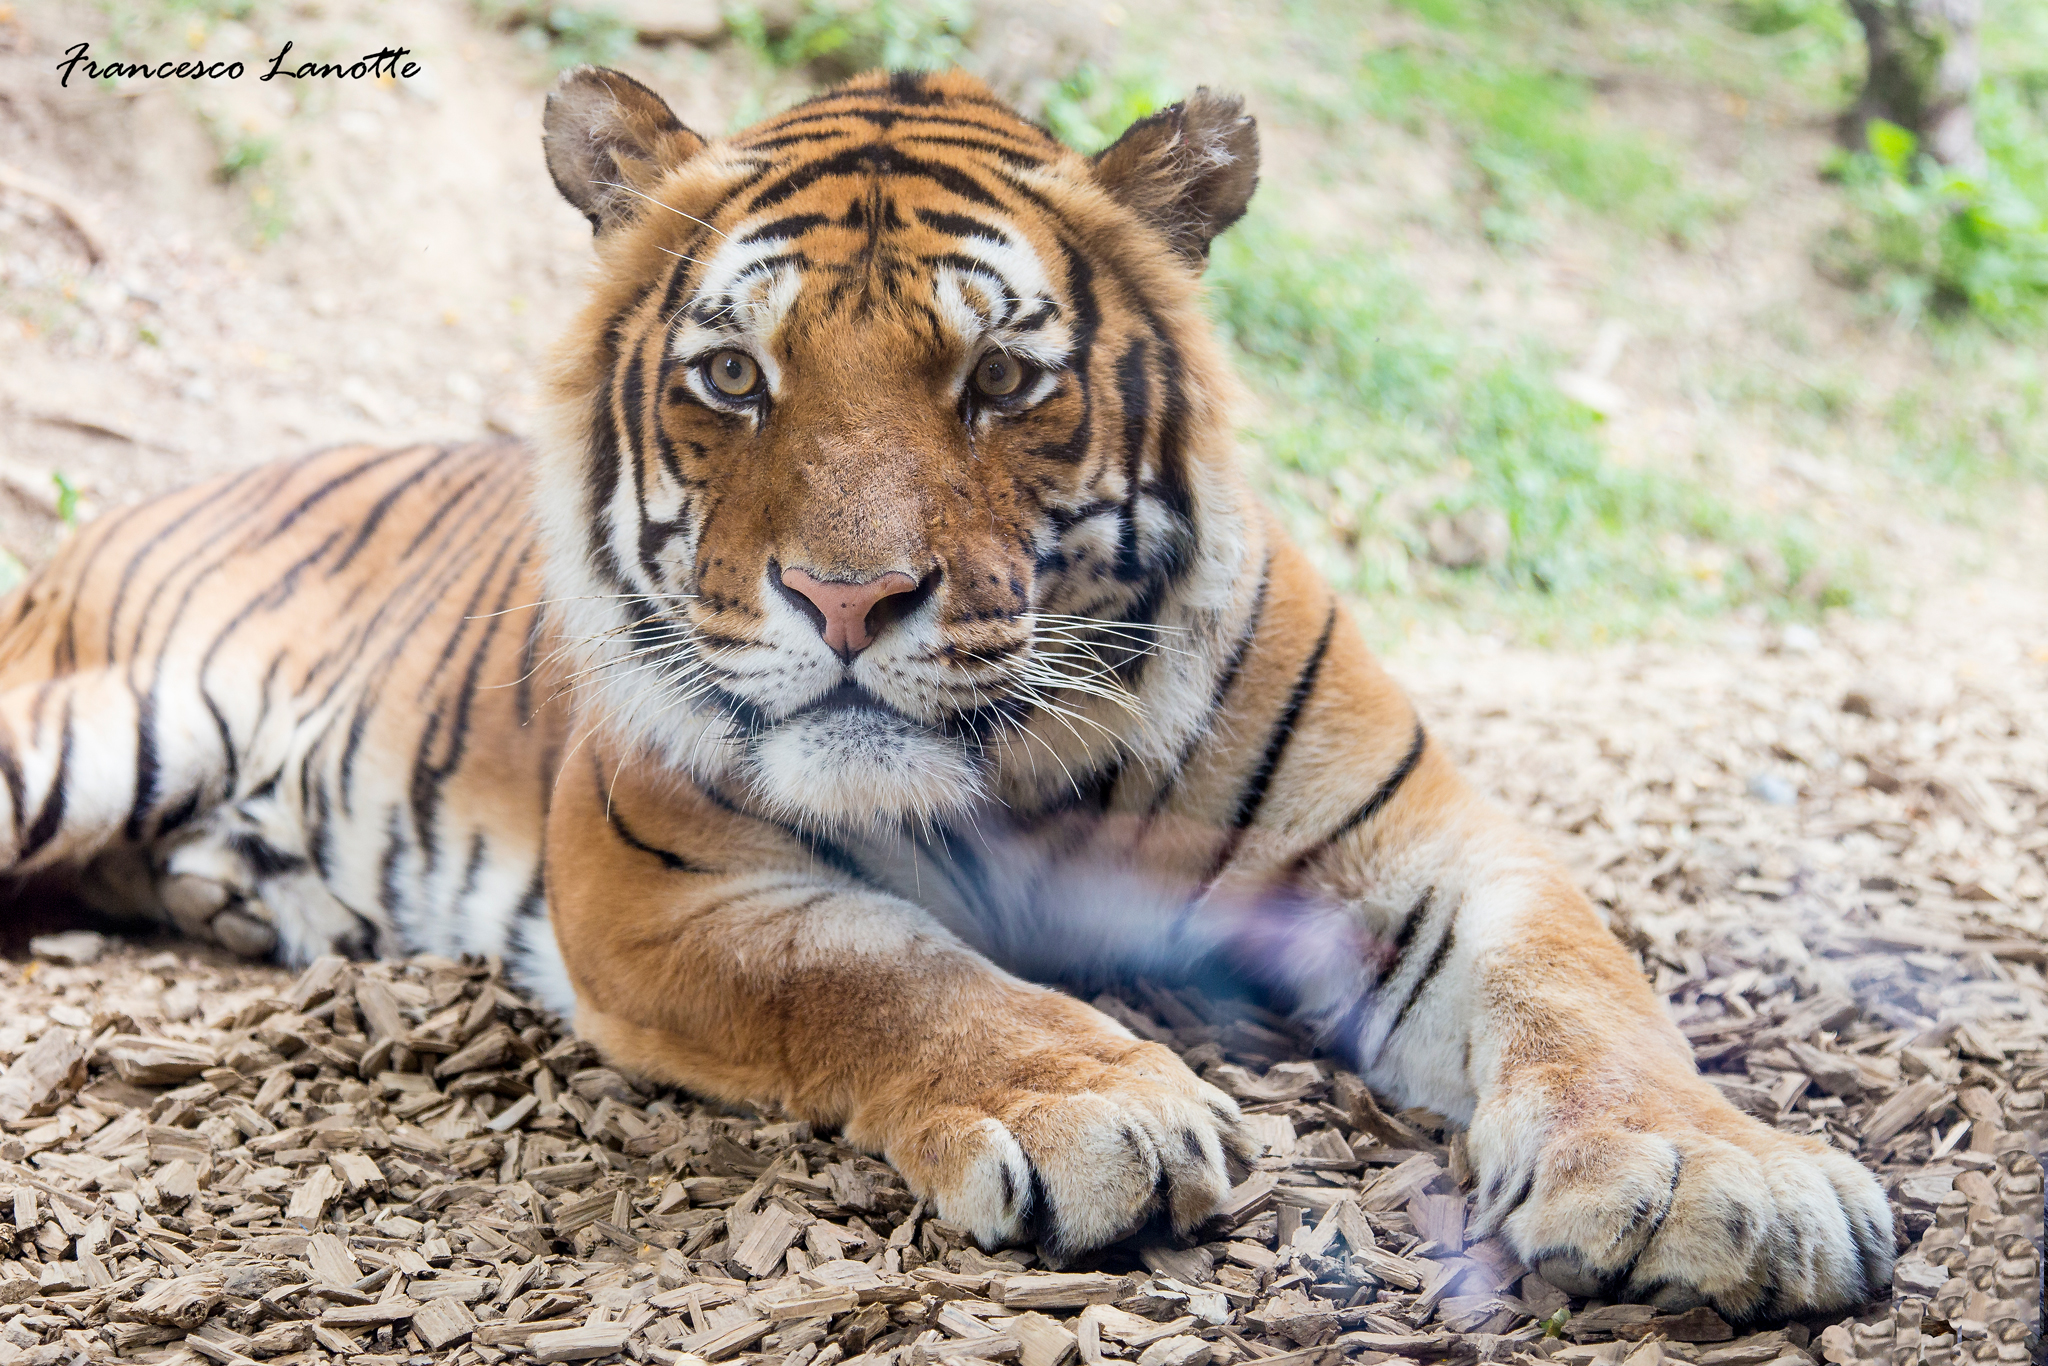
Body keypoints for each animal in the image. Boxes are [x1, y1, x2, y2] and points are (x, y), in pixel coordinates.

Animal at [0, 66, 1891, 1317]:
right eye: (731, 377)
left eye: (999, 378)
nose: (847, 597)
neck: (1034, 763)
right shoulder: (666, 881)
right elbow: (891, 968)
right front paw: (1101, 1107)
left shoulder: (1427, 849)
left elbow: (1583, 991)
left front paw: (1716, 1173)